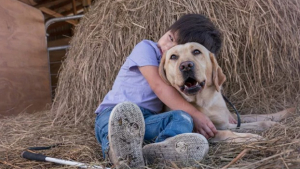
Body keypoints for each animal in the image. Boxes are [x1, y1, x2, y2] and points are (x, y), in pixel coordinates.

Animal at [159, 41, 296, 142]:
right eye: (173, 57)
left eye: (196, 51)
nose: (186, 66)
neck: (204, 102)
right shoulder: (205, 130)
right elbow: (227, 133)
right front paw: (251, 137)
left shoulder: (227, 120)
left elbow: (257, 119)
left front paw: (276, 122)